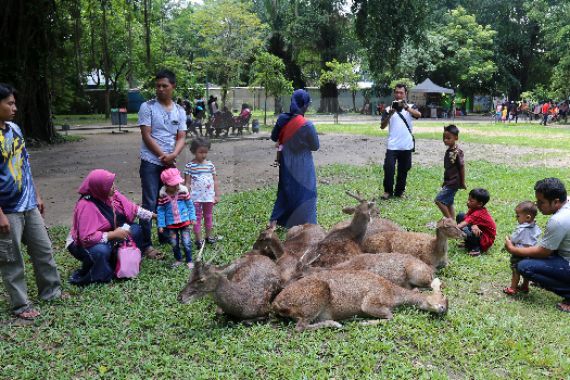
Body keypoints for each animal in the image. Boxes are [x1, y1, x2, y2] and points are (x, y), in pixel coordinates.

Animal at [272, 270, 448, 332]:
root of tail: (276, 304)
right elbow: (390, 316)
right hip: (315, 298)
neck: (394, 296)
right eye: (443, 298)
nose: (443, 310)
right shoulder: (371, 300)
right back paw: (335, 323)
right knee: (299, 327)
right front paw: (364, 322)